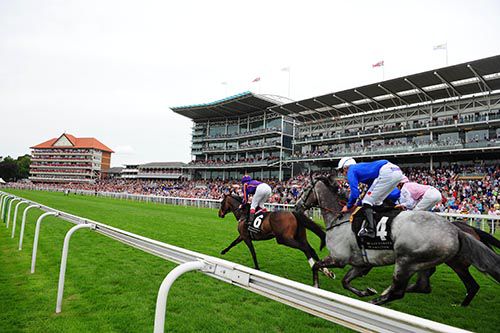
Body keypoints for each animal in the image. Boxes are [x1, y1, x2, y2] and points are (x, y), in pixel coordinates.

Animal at [294, 175, 500, 304]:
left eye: (305, 189)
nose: (296, 205)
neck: (341, 217)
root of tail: (455, 231)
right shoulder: (361, 263)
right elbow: (345, 281)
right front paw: (366, 291)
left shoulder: (339, 258)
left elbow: (317, 266)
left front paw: (316, 285)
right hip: (425, 261)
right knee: (423, 286)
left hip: (409, 261)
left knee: (401, 290)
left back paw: (377, 301)